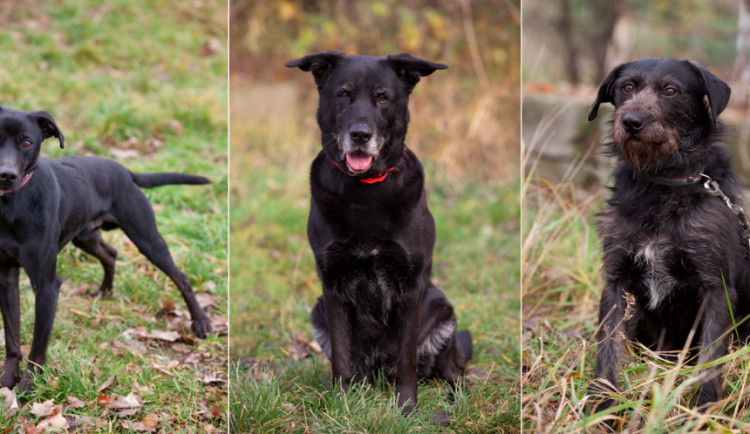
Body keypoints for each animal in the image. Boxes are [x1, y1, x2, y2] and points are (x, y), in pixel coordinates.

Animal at [0, 106, 213, 394]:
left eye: (27, 143)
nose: (6, 175)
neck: (12, 205)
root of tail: (124, 170)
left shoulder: (46, 286)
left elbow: (37, 347)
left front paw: (27, 386)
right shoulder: (6, 277)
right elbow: (12, 338)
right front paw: (7, 380)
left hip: (147, 239)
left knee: (181, 277)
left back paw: (200, 321)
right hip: (85, 237)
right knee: (110, 254)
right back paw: (105, 291)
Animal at [284, 51, 472, 414]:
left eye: (383, 97)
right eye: (343, 94)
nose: (360, 134)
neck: (365, 189)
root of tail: (378, 366)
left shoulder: (412, 287)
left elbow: (408, 358)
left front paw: (407, 409)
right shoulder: (332, 287)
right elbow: (341, 359)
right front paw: (341, 405)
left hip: (441, 305)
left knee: (452, 370)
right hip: (319, 309)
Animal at [588, 57, 750, 414]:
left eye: (671, 91)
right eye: (627, 87)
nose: (631, 122)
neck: (663, 183)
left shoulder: (716, 286)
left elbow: (710, 358)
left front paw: (702, 410)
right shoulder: (616, 280)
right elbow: (608, 348)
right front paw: (601, 407)